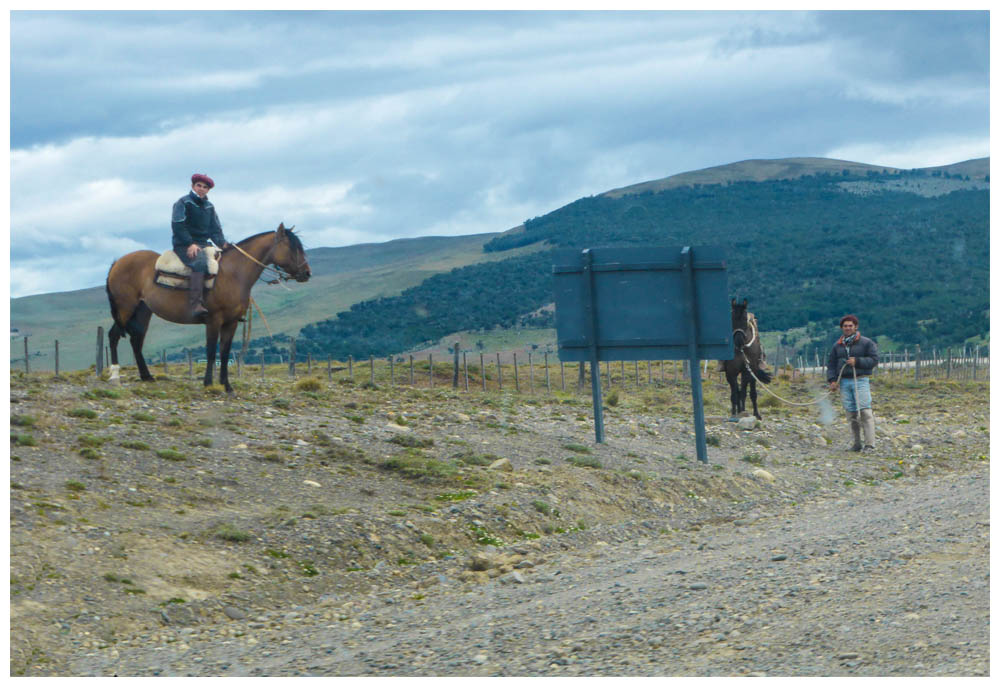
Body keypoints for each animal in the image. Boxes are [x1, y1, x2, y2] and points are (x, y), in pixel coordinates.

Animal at [103, 223, 308, 390]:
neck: (233, 274)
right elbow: (211, 351)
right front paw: (209, 382)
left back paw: (146, 376)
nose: (307, 273)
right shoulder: (214, 320)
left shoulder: (231, 323)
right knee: (114, 335)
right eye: (292, 247)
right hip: (125, 308)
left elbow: (224, 352)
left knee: (136, 340)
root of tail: (117, 262)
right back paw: (114, 376)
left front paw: (226, 385)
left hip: (143, 311)